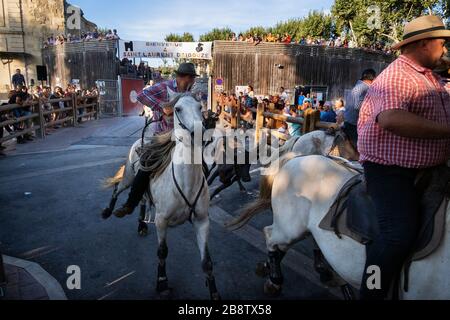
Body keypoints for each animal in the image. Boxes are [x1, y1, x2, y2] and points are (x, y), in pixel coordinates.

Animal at [102, 90, 221, 300]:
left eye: (200, 107)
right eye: (177, 109)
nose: (199, 132)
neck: (186, 182)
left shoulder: (202, 220)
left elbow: (206, 262)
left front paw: (214, 293)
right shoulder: (161, 220)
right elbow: (162, 252)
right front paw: (162, 282)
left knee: (142, 200)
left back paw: (141, 225)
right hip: (130, 177)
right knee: (119, 188)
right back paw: (110, 210)